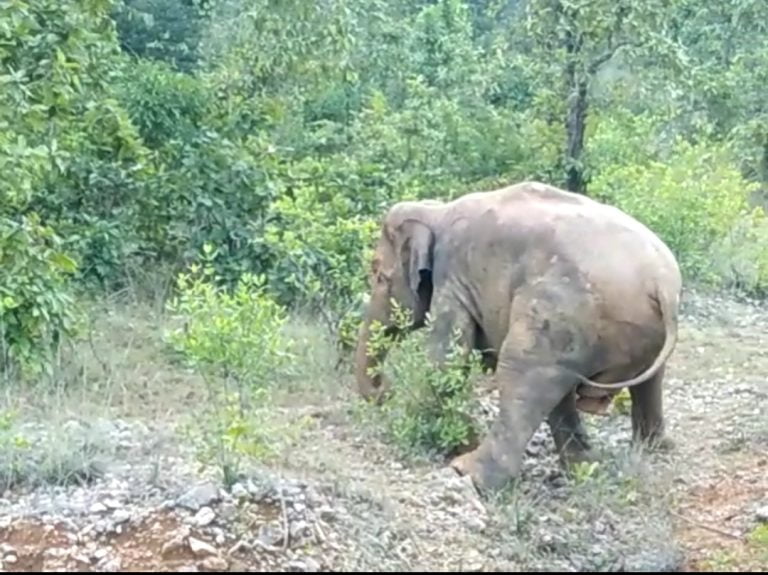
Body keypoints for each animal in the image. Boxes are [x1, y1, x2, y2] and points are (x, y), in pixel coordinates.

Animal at [353, 180, 682, 492]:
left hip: (563, 310)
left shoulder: (453, 276)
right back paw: (608, 460)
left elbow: (446, 357)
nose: (385, 390)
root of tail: (661, 283)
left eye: (379, 275)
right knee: (634, 382)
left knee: (521, 371)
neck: (435, 209)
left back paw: (468, 473)